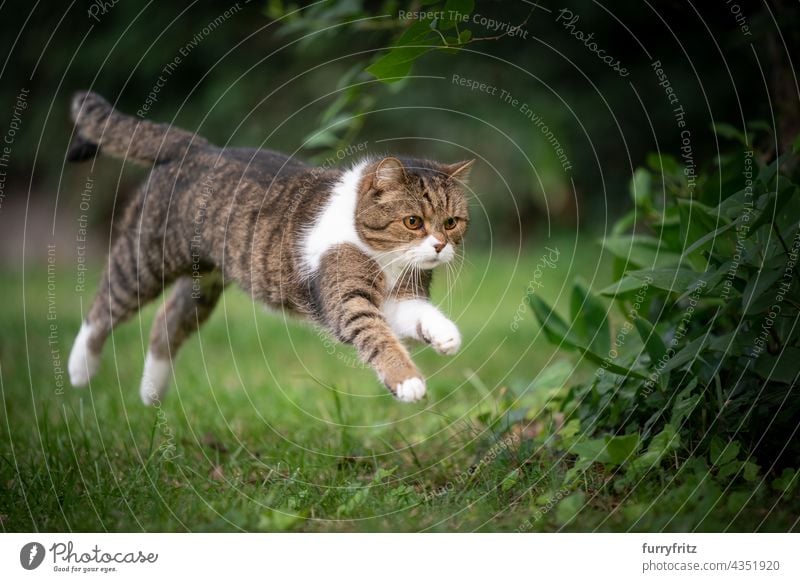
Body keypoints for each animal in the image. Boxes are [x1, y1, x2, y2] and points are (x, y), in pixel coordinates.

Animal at [69, 93, 476, 408]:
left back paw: (151, 392)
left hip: (206, 280)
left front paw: (444, 335)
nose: (440, 245)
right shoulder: (345, 301)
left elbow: (418, 315)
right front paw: (407, 380)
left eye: (451, 222)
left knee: (166, 321)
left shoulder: (401, 297)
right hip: (146, 258)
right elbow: (376, 335)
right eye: (413, 222)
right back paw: (79, 369)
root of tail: (196, 147)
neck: (385, 259)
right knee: (104, 305)